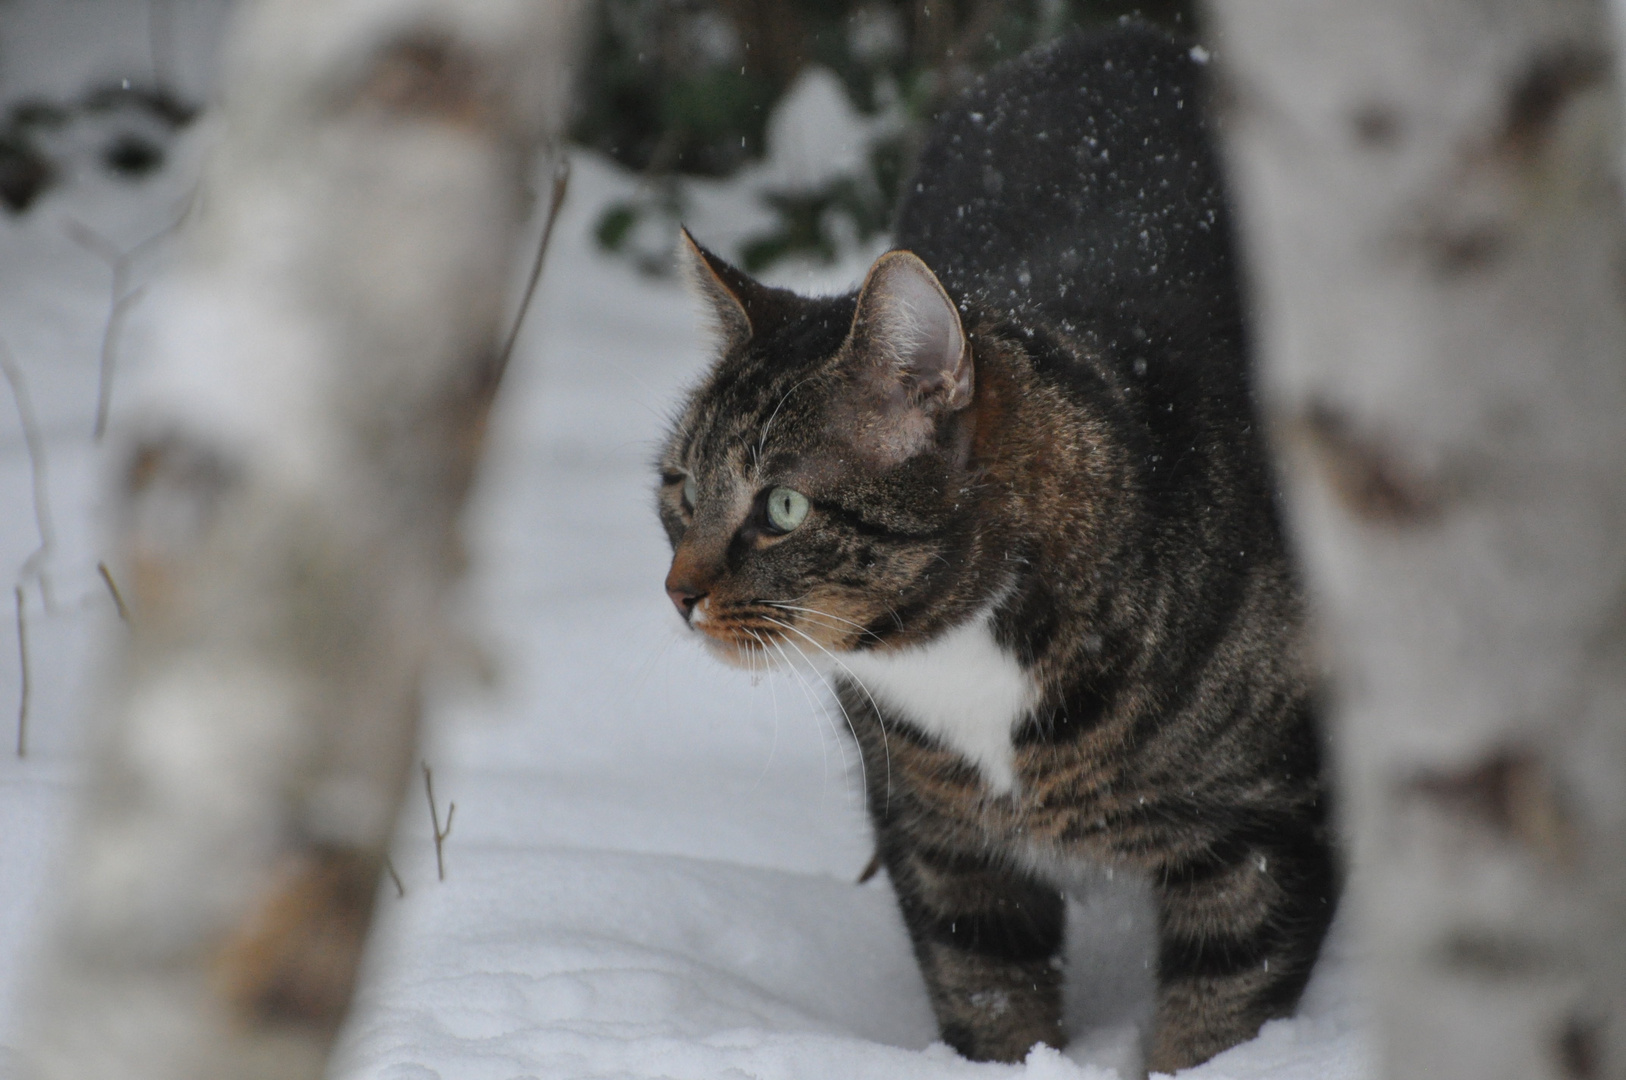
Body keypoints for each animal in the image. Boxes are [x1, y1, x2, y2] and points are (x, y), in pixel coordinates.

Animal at [653, 23, 1339, 1073]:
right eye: (682, 490)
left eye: (783, 506)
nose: (677, 592)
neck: (967, 658)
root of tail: (1118, 36)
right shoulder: (940, 837)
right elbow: (986, 984)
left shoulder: (1272, 824)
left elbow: (1224, 1011)